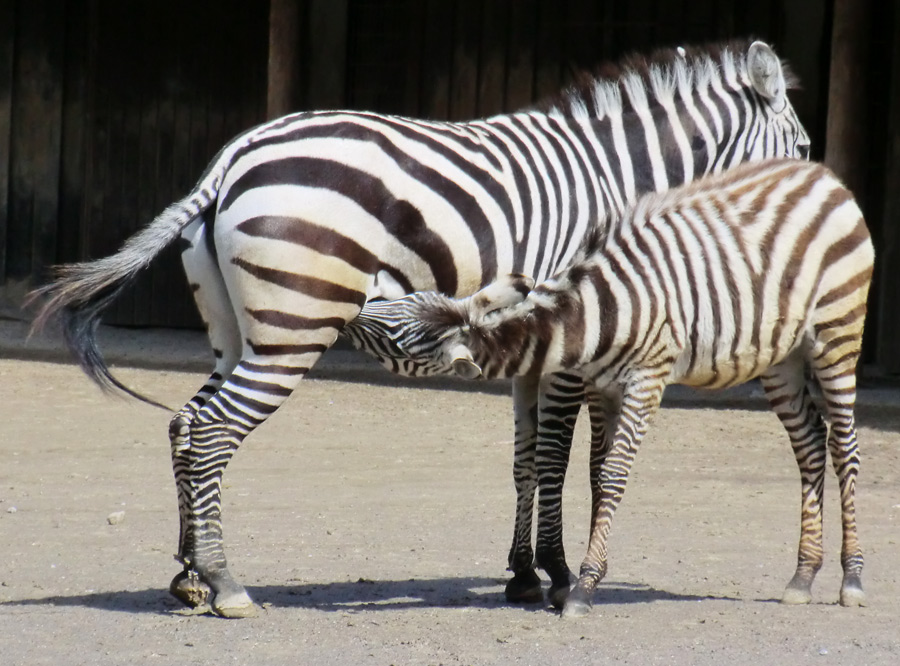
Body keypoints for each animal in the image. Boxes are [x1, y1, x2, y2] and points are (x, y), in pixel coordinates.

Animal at [28, 39, 804, 616]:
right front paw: (557, 575)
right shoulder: (570, 342)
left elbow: (526, 459)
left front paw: (522, 574)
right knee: (216, 430)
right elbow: (557, 457)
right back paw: (226, 584)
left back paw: (188, 577)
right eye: (799, 145)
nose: (812, 202)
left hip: (235, 334)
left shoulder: (535, 342)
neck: (617, 183)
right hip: (292, 328)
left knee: (187, 424)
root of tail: (228, 163)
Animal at [350, 158, 872, 616]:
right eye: (400, 303)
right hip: (782, 359)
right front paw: (584, 575)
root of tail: (821, 175)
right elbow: (597, 475)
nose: (351, 306)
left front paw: (579, 588)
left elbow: (614, 474)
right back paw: (803, 576)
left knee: (844, 448)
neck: (594, 315)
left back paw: (851, 579)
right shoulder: (602, 387)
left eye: (398, 337)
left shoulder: (646, 379)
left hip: (836, 335)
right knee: (810, 445)